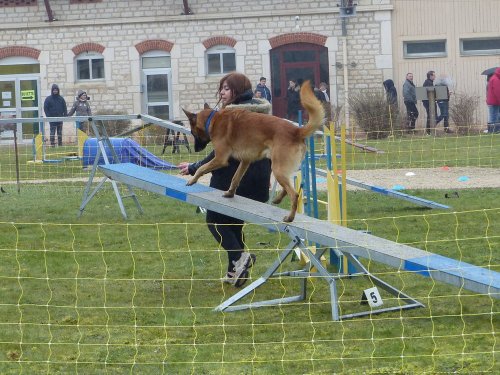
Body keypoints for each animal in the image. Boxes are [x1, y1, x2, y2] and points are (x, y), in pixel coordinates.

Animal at [183, 81, 324, 222]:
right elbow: (235, 178)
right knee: (289, 187)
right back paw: (277, 200)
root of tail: (297, 131)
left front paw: (192, 180)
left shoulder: (220, 158)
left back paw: (290, 217)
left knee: (294, 194)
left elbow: (201, 168)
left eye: (192, 133)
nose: (195, 149)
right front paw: (230, 193)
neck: (212, 119)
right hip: (282, 169)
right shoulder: (245, 161)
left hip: (278, 169)